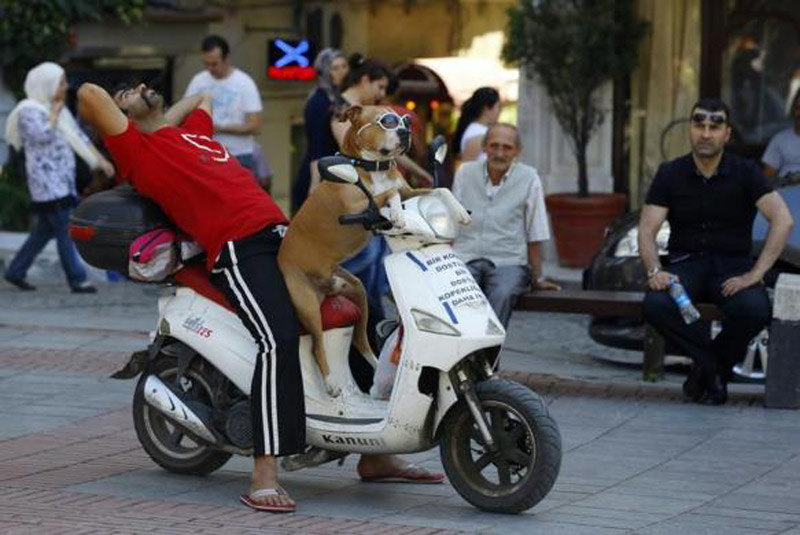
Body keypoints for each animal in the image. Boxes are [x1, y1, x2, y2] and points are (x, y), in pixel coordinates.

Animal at [280, 105, 468, 398]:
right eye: (386, 122)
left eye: (404, 120)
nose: (405, 131)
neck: (373, 167)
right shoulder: (359, 208)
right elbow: (388, 195)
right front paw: (398, 215)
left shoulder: (409, 190)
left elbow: (439, 188)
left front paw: (458, 210)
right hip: (307, 304)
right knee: (316, 344)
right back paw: (331, 383)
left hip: (357, 292)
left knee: (360, 340)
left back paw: (379, 373)